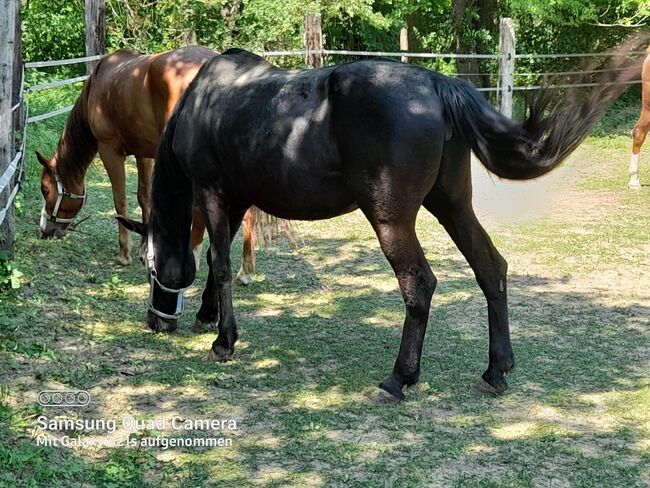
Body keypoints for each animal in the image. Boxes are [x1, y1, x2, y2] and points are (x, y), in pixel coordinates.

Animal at [37, 47, 256, 284]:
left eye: (45, 190)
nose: (45, 230)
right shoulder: (144, 154)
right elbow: (145, 198)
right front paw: (145, 247)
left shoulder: (110, 151)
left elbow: (120, 200)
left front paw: (124, 253)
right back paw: (245, 271)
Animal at [119, 48, 640, 400]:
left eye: (150, 268)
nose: (156, 322)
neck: (207, 100)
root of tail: (435, 84)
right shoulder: (237, 200)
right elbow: (217, 261)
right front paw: (209, 315)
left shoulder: (212, 192)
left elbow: (219, 261)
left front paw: (223, 340)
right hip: (452, 206)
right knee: (490, 268)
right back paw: (496, 370)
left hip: (392, 221)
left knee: (419, 284)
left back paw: (399, 378)